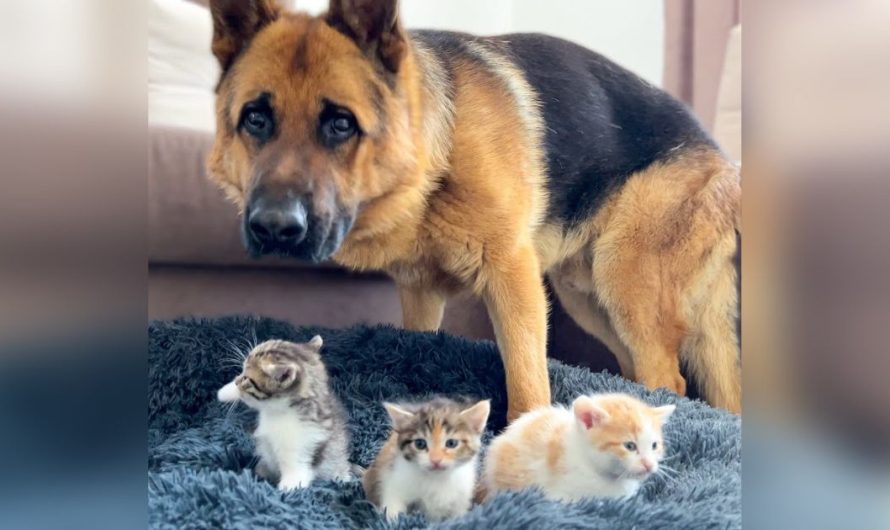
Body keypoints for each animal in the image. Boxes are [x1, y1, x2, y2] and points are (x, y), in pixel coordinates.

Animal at [205, 1, 740, 420]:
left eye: (340, 124)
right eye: (256, 119)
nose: (274, 228)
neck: (434, 164)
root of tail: (722, 159)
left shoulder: (513, 279)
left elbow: (526, 379)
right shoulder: (420, 294)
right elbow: (417, 339)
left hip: (624, 282)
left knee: (671, 382)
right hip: (587, 298)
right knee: (637, 369)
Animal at [216, 336, 350, 488]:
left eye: (246, 378)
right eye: (242, 373)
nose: (237, 381)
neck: (277, 411)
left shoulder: (301, 445)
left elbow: (295, 475)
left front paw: (284, 491)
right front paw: (224, 392)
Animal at [360, 394, 490, 516]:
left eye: (451, 443)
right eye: (420, 444)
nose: (436, 460)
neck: (437, 479)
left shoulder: (462, 497)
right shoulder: (393, 482)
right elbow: (392, 506)